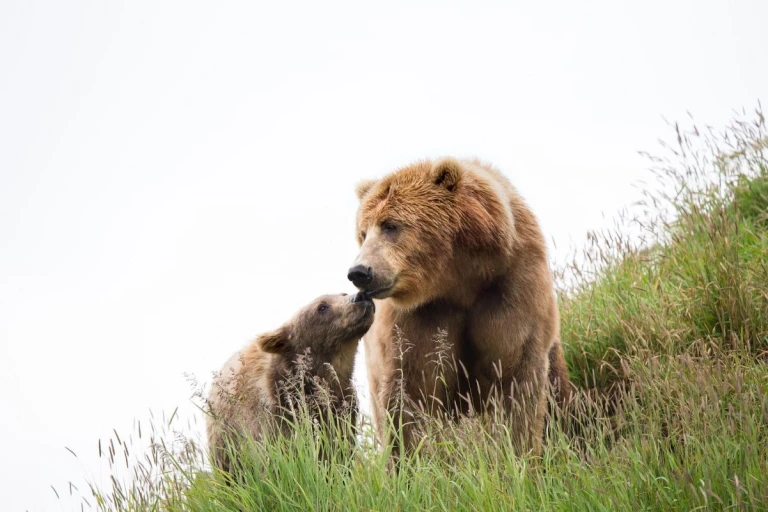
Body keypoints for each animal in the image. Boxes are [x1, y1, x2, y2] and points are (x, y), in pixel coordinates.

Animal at [206, 292, 374, 474]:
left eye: (342, 293)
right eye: (322, 307)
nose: (360, 296)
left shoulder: (343, 410)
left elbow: (339, 454)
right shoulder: (276, 416)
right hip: (226, 440)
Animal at [347, 157, 571, 457]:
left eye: (390, 225)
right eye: (363, 232)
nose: (360, 272)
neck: (457, 280)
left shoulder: (511, 288)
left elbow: (516, 377)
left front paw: (519, 452)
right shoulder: (418, 318)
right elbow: (408, 393)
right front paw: (411, 459)